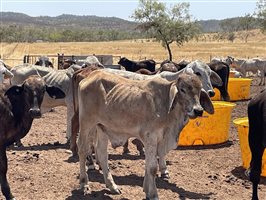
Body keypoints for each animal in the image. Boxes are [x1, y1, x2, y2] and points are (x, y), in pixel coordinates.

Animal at [77, 70, 214, 198]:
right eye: (182, 90)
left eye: (199, 91)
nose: (198, 110)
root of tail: (91, 76)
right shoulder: (151, 137)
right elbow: (152, 167)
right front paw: (153, 194)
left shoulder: (155, 141)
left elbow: (148, 165)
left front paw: (146, 190)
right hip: (86, 123)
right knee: (83, 149)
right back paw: (84, 184)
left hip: (102, 127)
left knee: (101, 153)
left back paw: (112, 186)